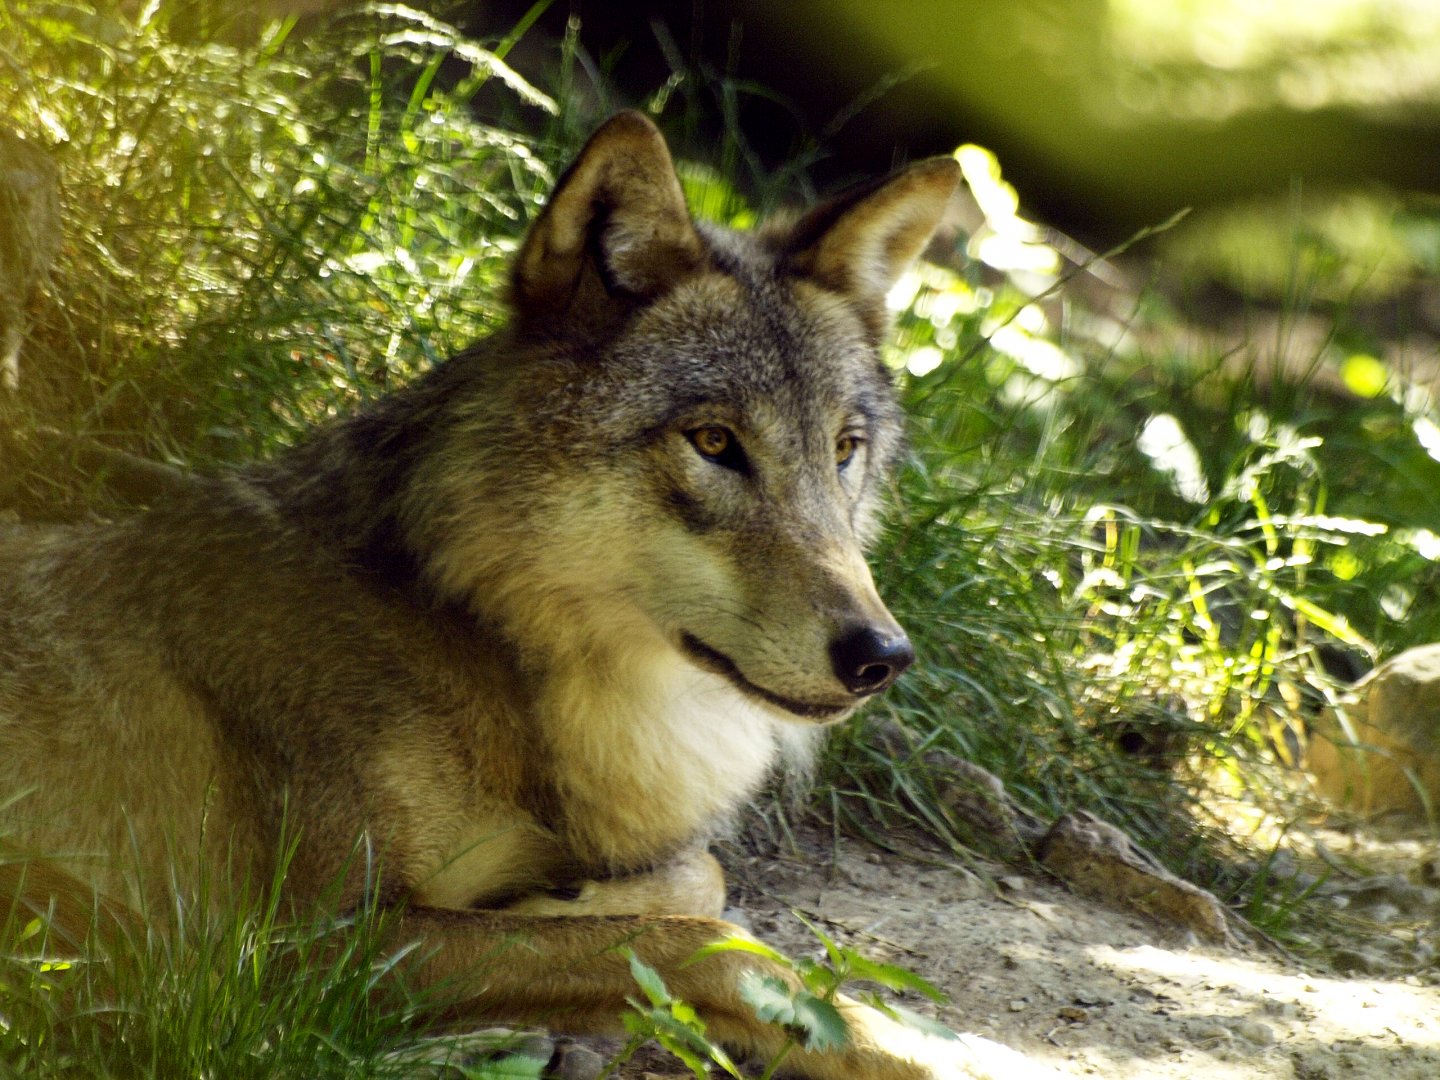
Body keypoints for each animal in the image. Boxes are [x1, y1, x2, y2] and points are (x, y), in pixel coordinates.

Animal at [0, 112, 977, 1078]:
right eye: (713, 442)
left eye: (844, 449)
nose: (882, 657)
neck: (480, 639)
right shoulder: (279, 952)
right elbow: (711, 945)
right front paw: (936, 1049)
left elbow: (697, 883)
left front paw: (558, 899)